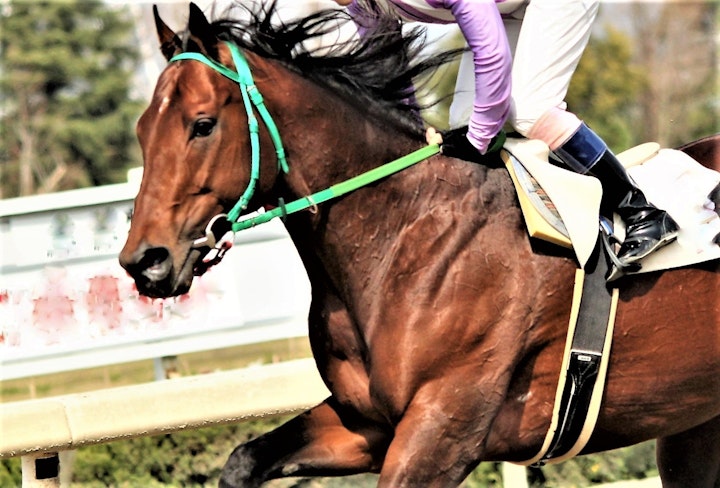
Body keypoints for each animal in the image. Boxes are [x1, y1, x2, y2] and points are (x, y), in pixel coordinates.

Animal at [119, 2, 720, 484]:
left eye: (202, 124)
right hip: (692, 421)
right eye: (143, 130)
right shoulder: (365, 422)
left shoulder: (442, 429)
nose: (144, 262)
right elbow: (244, 459)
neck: (403, 236)